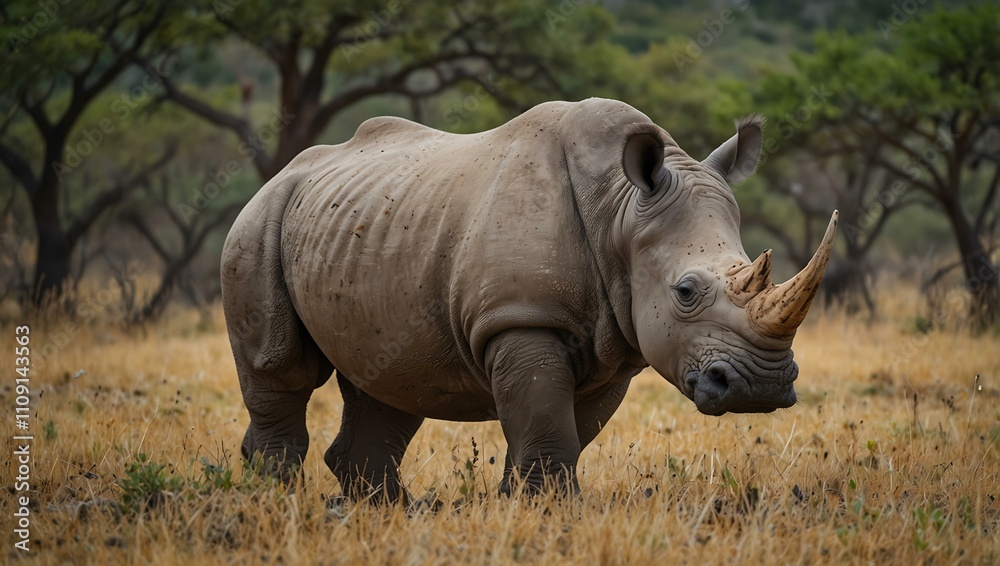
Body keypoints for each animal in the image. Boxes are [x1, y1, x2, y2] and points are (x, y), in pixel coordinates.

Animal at [221, 98, 837, 500]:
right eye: (686, 291)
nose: (760, 388)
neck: (621, 209)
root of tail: (282, 173)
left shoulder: (616, 347)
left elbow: (564, 432)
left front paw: (520, 505)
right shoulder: (521, 319)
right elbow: (547, 427)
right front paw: (550, 514)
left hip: (371, 230)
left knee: (388, 382)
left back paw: (383, 515)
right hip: (256, 223)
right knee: (280, 367)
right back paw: (275, 502)